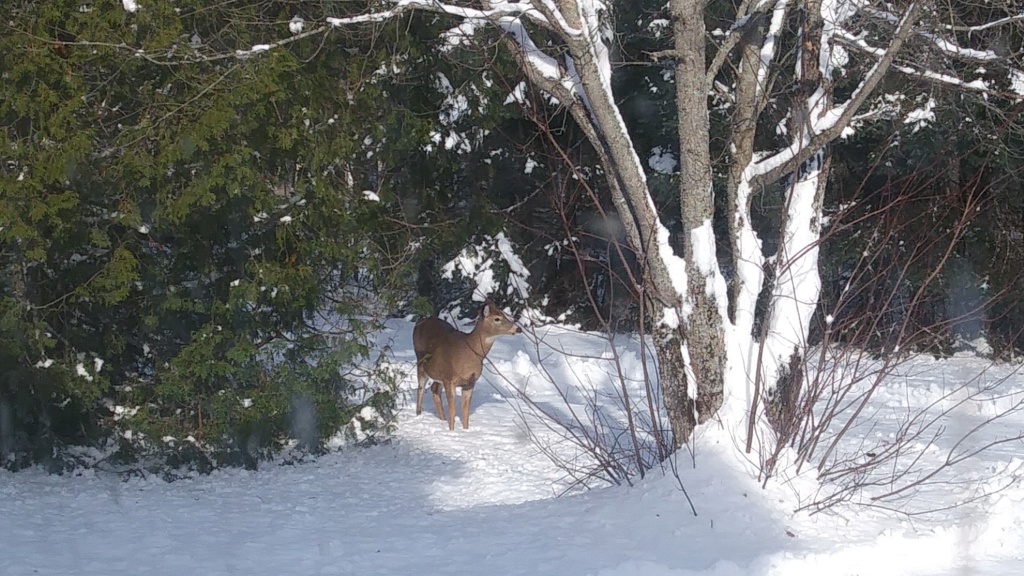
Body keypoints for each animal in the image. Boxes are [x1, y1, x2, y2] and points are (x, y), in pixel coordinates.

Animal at [411, 297, 520, 428]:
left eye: (504, 315)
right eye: (497, 318)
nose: (518, 328)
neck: (468, 356)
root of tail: (420, 321)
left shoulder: (470, 383)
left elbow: (465, 413)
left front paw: (465, 430)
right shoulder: (449, 379)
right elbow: (452, 412)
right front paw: (452, 431)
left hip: (438, 373)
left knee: (434, 388)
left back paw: (441, 419)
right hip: (421, 364)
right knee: (420, 389)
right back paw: (418, 415)